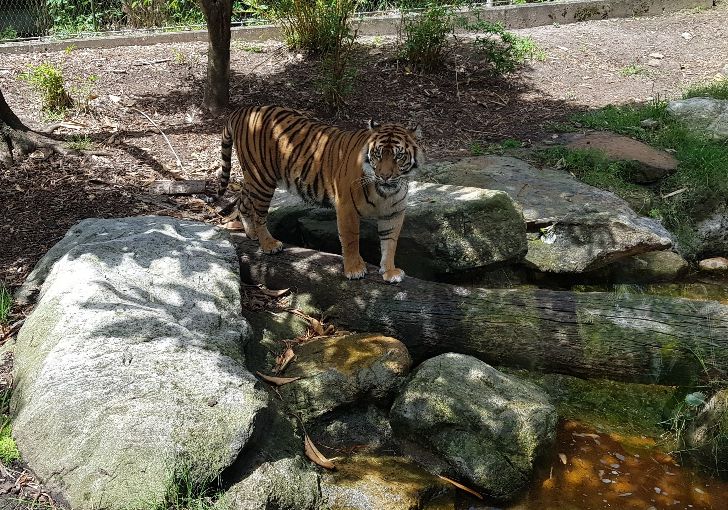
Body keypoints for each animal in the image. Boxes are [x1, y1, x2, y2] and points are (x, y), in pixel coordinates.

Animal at [218, 105, 420, 282]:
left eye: (398, 156)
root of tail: (244, 110)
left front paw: (390, 271)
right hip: (262, 179)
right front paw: (354, 269)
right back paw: (269, 244)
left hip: (254, 179)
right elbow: (351, 239)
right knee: (259, 214)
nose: (385, 176)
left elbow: (390, 242)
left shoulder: (393, 212)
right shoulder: (347, 207)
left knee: (243, 202)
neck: (385, 192)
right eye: (378, 154)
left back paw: (251, 233)